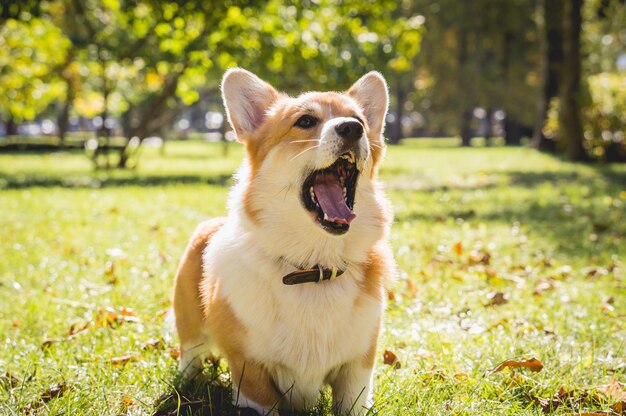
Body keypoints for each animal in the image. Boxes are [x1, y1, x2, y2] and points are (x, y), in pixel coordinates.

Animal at [173, 66, 392, 414]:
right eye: (305, 121)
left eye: (359, 119)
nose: (353, 128)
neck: (313, 266)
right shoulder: (251, 372)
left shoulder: (357, 370)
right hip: (189, 325)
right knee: (190, 355)